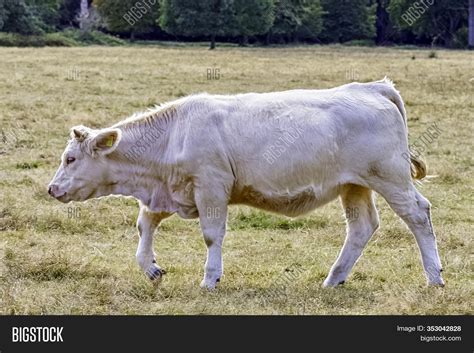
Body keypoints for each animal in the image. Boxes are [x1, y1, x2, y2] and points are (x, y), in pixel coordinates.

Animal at [48, 78, 444, 288]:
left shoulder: (211, 187)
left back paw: (434, 277)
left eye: (70, 159)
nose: (52, 189)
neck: (173, 134)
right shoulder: (169, 192)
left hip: (389, 177)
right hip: (354, 186)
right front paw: (151, 268)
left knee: (419, 215)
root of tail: (371, 88)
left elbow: (211, 235)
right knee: (361, 227)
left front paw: (210, 279)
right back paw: (333, 279)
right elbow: (145, 225)